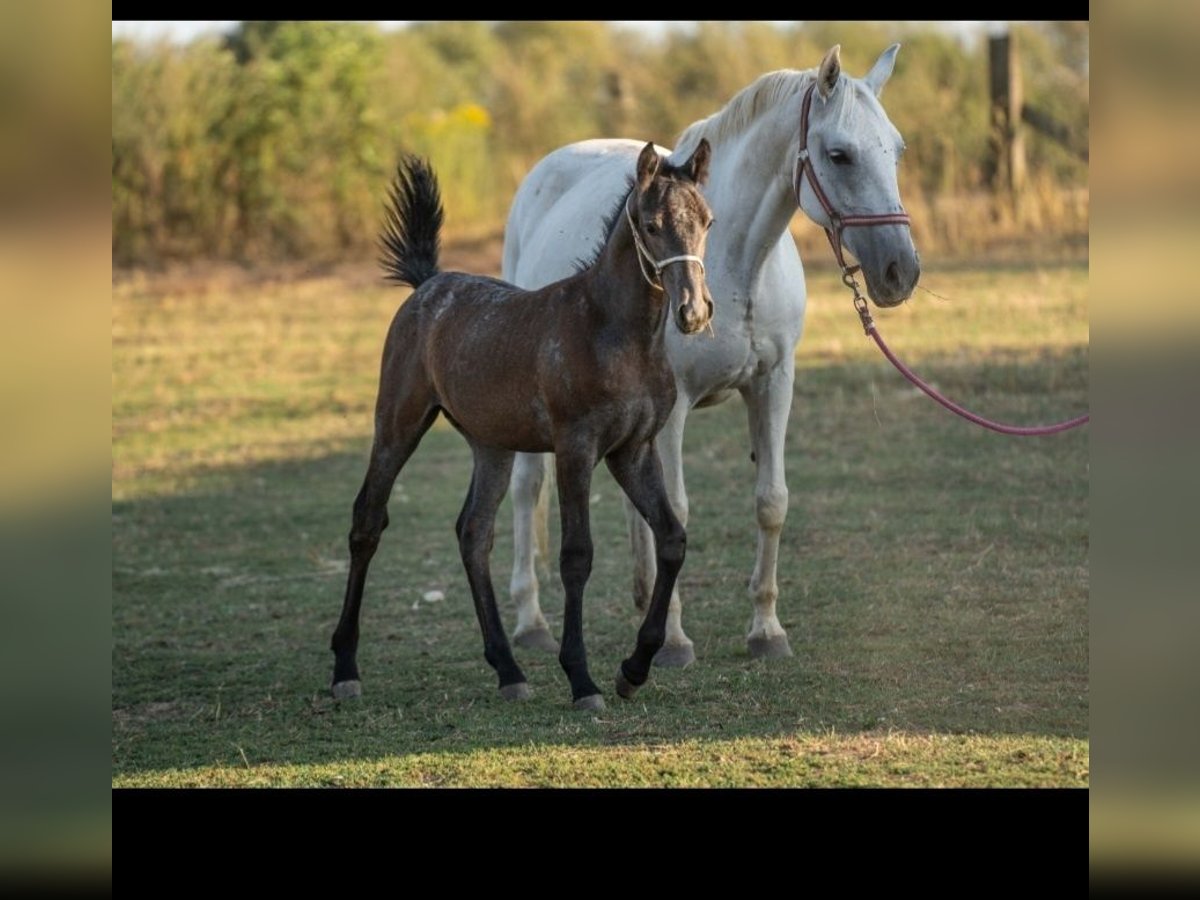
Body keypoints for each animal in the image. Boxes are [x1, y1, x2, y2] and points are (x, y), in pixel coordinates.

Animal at [328, 139, 710, 710]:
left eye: (707, 220)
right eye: (650, 223)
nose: (694, 311)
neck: (615, 332)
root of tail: (428, 284)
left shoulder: (633, 450)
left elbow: (671, 539)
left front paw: (634, 668)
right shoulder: (576, 448)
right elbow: (577, 556)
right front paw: (582, 679)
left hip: (491, 446)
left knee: (473, 532)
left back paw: (508, 670)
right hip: (396, 423)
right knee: (367, 521)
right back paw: (345, 668)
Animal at [496, 45, 916, 667]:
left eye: (897, 149)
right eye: (839, 154)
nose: (900, 271)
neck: (737, 262)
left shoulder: (774, 383)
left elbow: (771, 501)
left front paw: (766, 631)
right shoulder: (674, 408)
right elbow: (675, 510)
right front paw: (672, 641)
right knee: (528, 488)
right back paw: (531, 623)